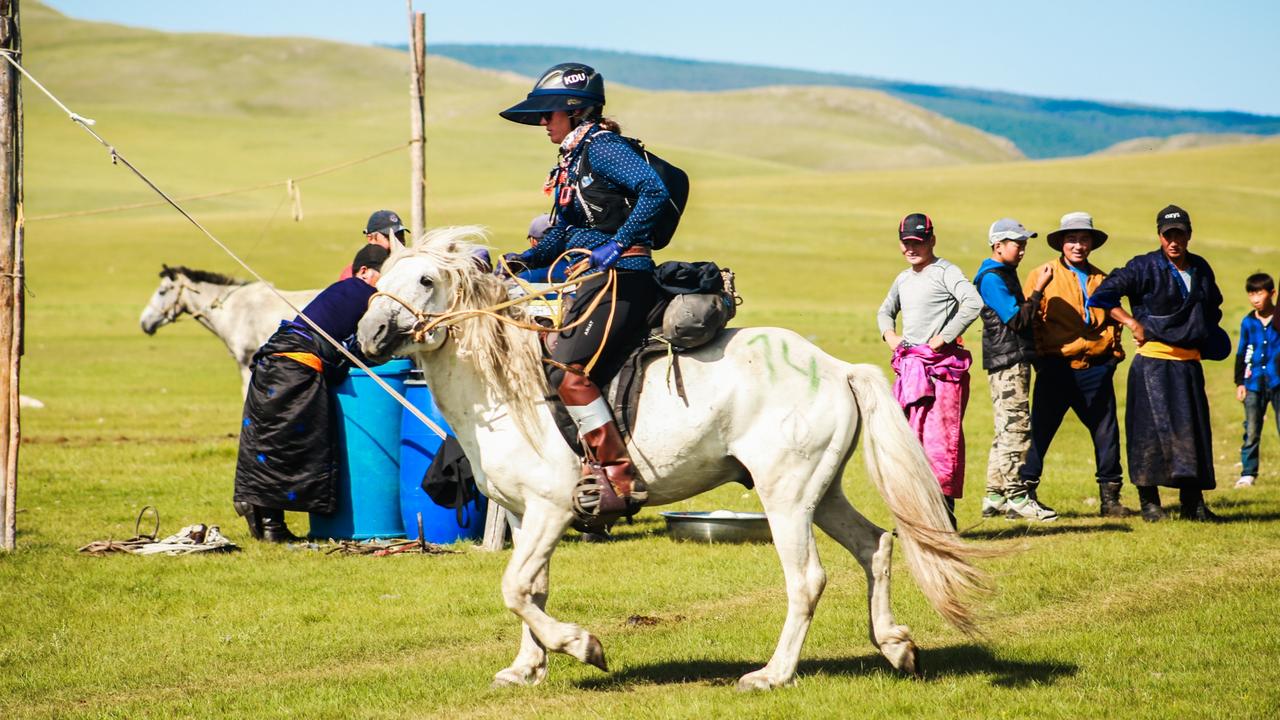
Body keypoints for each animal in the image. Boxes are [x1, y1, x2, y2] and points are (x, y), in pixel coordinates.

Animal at [360, 226, 988, 686]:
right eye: (382, 277)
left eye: (424, 279)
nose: (368, 334)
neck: (505, 388)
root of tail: (836, 368)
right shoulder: (520, 513)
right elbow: (531, 588)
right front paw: (526, 668)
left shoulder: (551, 507)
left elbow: (515, 587)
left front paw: (583, 646)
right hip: (822, 491)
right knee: (875, 546)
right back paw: (896, 647)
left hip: (786, 495)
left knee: (808, 578)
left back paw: (772, 675)